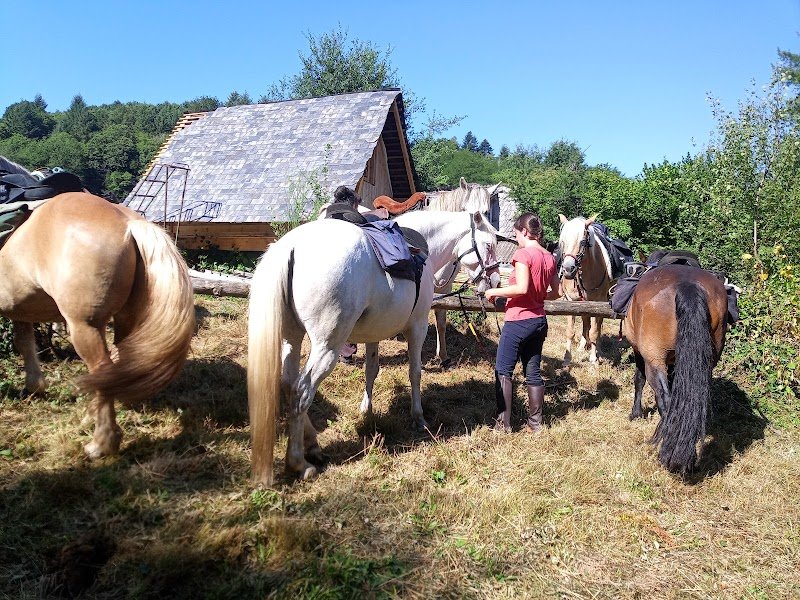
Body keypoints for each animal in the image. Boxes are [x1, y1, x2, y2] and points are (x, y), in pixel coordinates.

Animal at [0, 157, 195, 458]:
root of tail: (128, 223)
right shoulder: (21, 309)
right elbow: (25, 343)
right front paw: (34, 387)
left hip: (84, 326)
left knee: (103, 367)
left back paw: (101, 443)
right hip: (124, 321)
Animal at [247, 209, 499, 484]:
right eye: (489, 246)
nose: (496, 281)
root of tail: (292, 246)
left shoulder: (373, 334)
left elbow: (371, 371)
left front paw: (366, 412)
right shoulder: (418, 326)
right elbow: (415, 372)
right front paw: (418, 417)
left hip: (291, 338)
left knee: (288, 383)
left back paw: (312, 443)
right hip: (327, 347)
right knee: (301, 391)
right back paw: (299, 463)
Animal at [557, 214, 614, 366]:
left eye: (582, 241)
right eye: (562, 241)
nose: (568, 269)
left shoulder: (598, 303)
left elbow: (594, 331)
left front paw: (593, 359)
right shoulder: (571, 301)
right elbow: (571, 331)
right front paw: (567, 358)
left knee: (597, 325)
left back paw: (597, 348)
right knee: (585, 322)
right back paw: (582, 346)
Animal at [623, 253, 729, 474]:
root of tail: (687, 285)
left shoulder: (640, 352)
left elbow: (639, 380)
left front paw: (635, 414)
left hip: (654, 360)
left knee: (665, 398)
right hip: (706, 361)